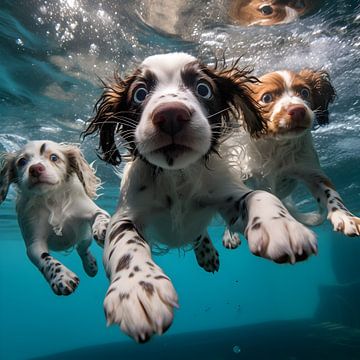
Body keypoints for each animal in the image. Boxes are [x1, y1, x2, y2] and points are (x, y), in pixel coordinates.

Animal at [0, 141, 109, 296]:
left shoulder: (91, 209)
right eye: (22, 161)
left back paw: (90, 265)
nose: (35, 169)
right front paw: (62, 277)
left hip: (85, 236)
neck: (51, 198)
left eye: (54, 157)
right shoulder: (34, 243)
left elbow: (100, 216)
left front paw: (103, 229)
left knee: (82, 248)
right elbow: (45, 258)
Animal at [85, 52, 318, 344]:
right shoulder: (127, 214)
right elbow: (125, 243)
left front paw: (281, 225)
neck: (176, 175)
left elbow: (260, 195)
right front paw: (137, 286)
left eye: (203, 88)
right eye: (140, 94)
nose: (171, 115)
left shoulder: (226, 192)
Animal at [222, 69, 360, 250]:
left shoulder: (312, 172)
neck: (276, 144)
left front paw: (345, 216)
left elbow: (331, 194)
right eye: (267, 98)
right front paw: (230, 233)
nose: (298, 110)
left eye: (305, 92)